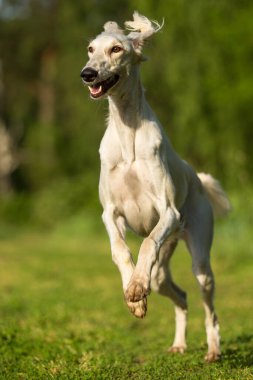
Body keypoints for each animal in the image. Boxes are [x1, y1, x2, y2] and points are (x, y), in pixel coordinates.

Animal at [81, 11, 231, 362]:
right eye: (91, 49)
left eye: (116, 49)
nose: (87, 74)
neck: (128, 135)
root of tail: (197, 178)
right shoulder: (110, 213)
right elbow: (120, 250)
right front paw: (133, 296)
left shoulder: (169, 213)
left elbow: (148, 242)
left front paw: (137, 286)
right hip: (164, 271)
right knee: (180, 295)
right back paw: (178, 343)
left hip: (199, 256)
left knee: (209, 308)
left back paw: (213, 350)